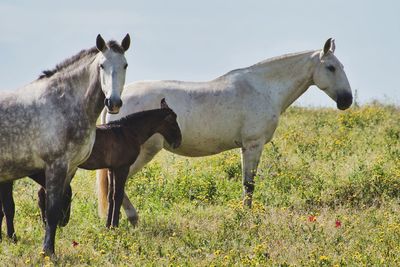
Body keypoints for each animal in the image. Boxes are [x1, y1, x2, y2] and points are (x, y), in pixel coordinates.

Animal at [0, 34, 130, 255]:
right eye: (102, 66)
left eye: (125, 65)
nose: (113, 103)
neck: (64, 105)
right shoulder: (55, 165)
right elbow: (51, 210)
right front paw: (48, 252)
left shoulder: (70, 168)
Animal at [97, 38, 354, 226]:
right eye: (331, 67)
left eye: (342, 67)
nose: (347, 100)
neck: (263, 88)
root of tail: (116, 100)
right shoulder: (253, 145)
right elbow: (249, 184)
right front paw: (247, 216)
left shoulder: (246, 147)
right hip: (142, 154)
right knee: (116, 185)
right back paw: (132, 218)